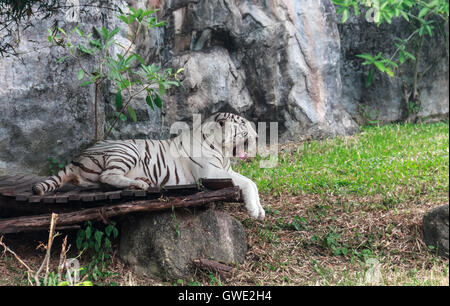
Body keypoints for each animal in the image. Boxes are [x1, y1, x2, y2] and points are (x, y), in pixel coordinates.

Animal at [33, 113, 266, 219]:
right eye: (243, 125)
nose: (257, 136)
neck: (222, 152)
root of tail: (77, 158)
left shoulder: (226, 171)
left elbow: (252, 183)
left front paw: (259, 210)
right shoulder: (210, 173)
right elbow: (247, 183)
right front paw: (255, 211)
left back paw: (140, 181)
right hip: (126, 151)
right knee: (106, 175)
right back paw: (140, 185)